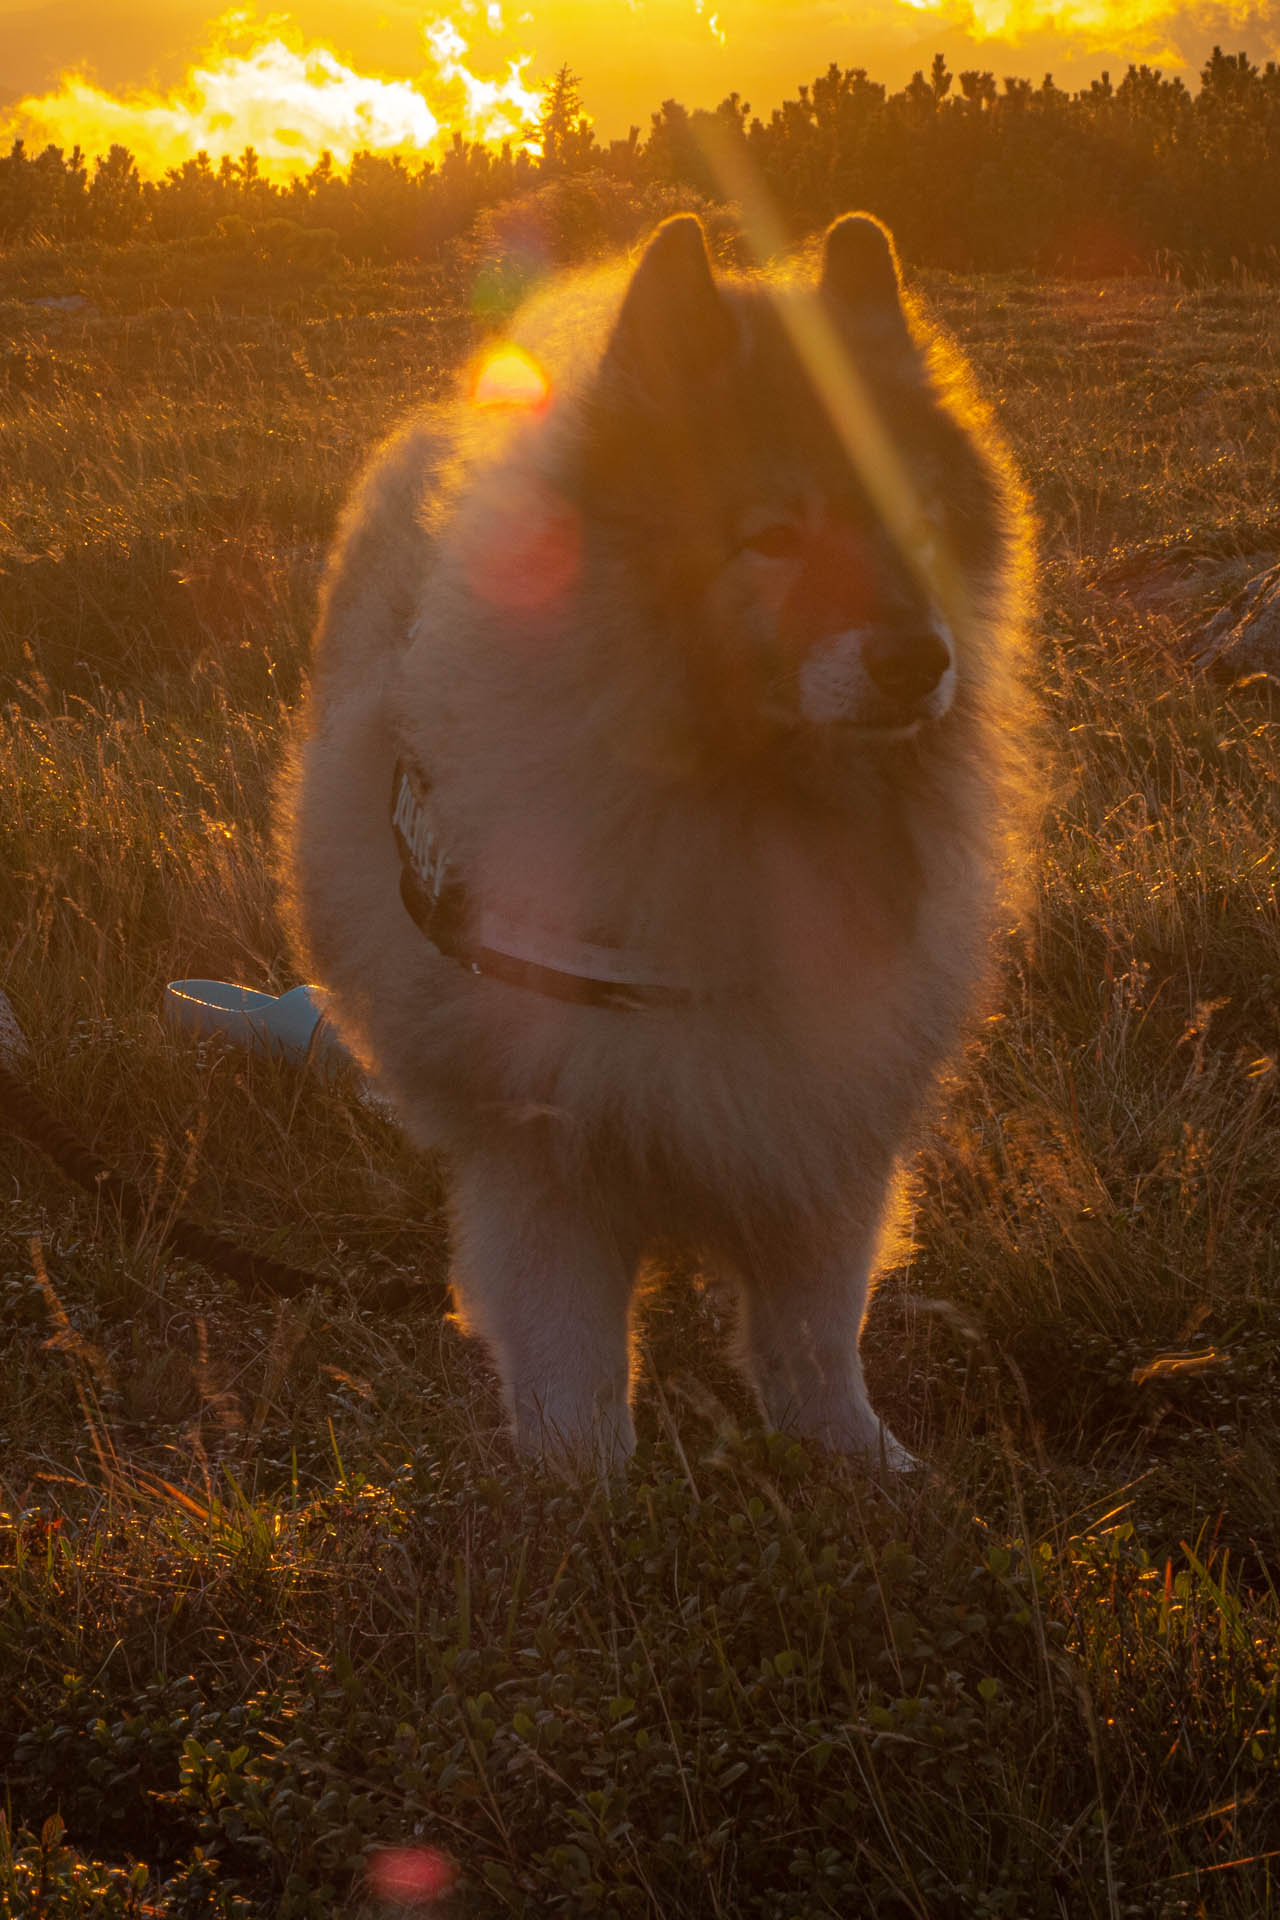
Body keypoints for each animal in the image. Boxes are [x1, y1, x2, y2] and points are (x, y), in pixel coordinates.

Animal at [282, 210, 1028, 1466]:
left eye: (910, 524)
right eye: (771, 538)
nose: (914, 659)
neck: (743, 799)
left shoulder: (820, 1117)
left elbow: (813, 1330)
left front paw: (855, 1463)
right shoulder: (546, 1141)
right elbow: (570, 1350)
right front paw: (580, 1487)